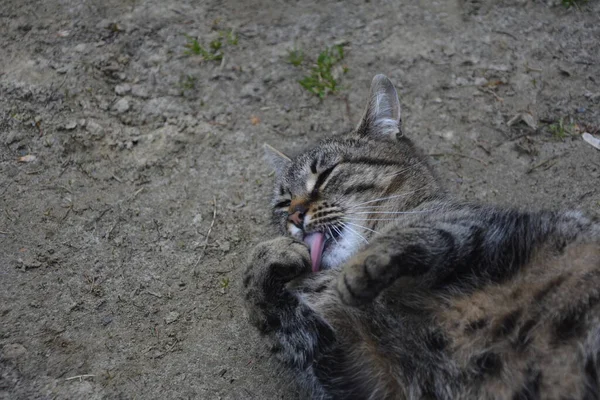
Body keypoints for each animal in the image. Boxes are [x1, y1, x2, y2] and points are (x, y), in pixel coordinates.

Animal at [243, 75, 600, 400]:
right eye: (283, 202)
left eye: (325, 174)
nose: (294, 217)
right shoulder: (356, 371)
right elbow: (267, 312)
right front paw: (270, 255)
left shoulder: (484, 227)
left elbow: (424, 235)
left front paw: (360, 267)